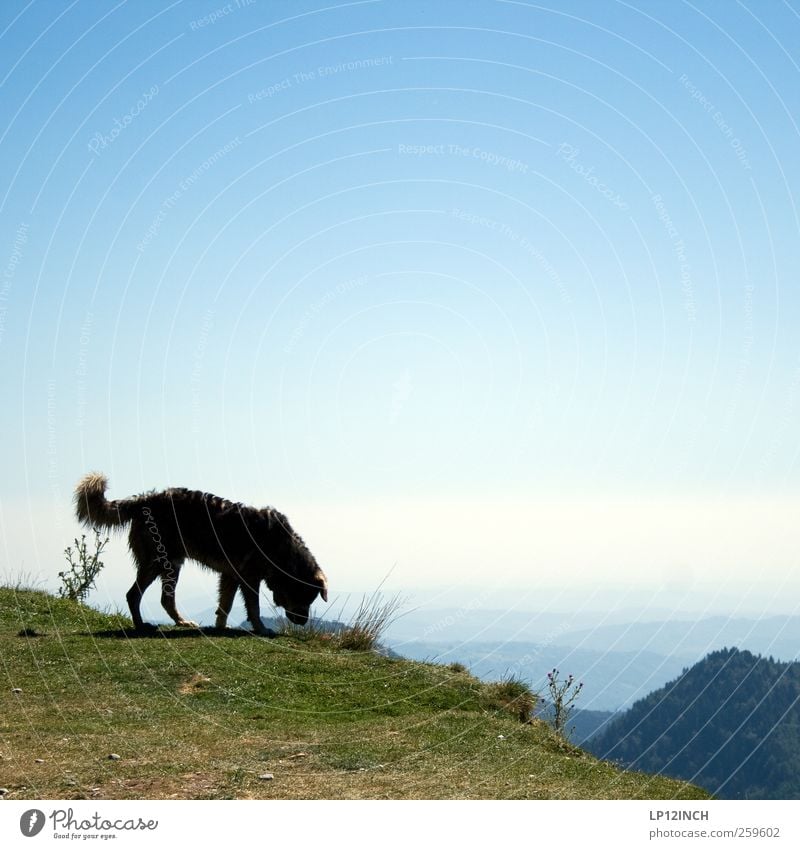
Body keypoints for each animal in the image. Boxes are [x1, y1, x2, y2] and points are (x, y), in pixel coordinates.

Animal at [72, 470, 328, 636]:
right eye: (306, 599)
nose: (303, 623)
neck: (283, 551)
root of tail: (146, 499)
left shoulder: (230, 576)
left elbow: (225, 605)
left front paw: (221, 627)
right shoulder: (249, 578)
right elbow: (253, 608)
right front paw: (261, 629)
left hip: (169, 564)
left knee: (162, 599)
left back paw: (180, 622)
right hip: (162, 563)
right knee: (136, 595)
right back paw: (142, 625)